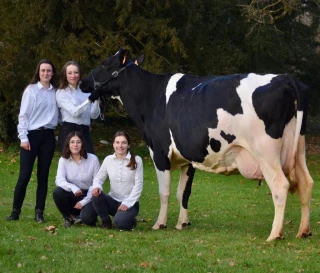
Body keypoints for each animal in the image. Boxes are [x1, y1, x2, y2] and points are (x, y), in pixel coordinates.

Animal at [79, 47, 314, 240]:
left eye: (105, 64)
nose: (83, 82)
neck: (150, 96)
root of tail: (285, 78)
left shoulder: (159, 152)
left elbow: (165, 192)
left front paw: (160, 224)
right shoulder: (187, 158)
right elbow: (183, 192)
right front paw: (182, 223)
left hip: (266, 151)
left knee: (280, 185)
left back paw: (275, 235)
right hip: (299, 148)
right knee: (306, 183)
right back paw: (303, 231)